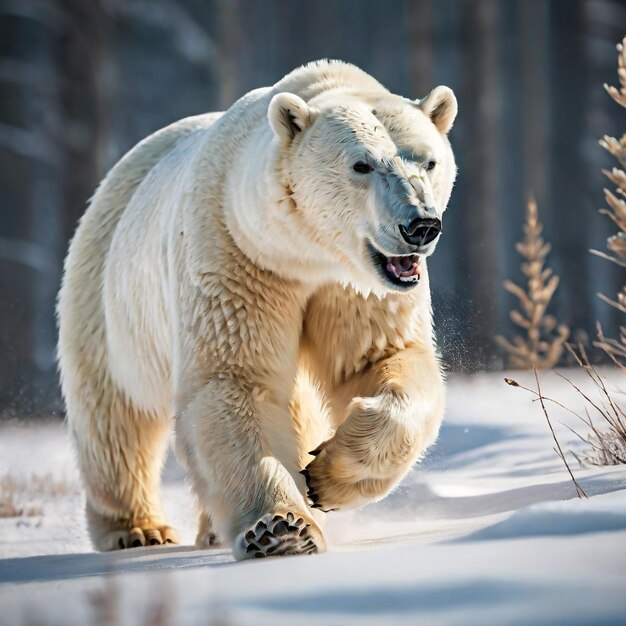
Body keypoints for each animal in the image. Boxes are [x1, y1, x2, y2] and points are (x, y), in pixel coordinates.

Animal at [57, 59, 454, 556]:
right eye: (361, 164)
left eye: (429, 161)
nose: (420, 225)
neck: (303, 253)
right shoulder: (238, 256)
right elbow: (235, 379)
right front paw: (281, 528)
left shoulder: (357, 288)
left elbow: (381, 359)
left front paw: (327, 476)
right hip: (106, 294)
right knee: (115, 416)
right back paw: (137, 529)